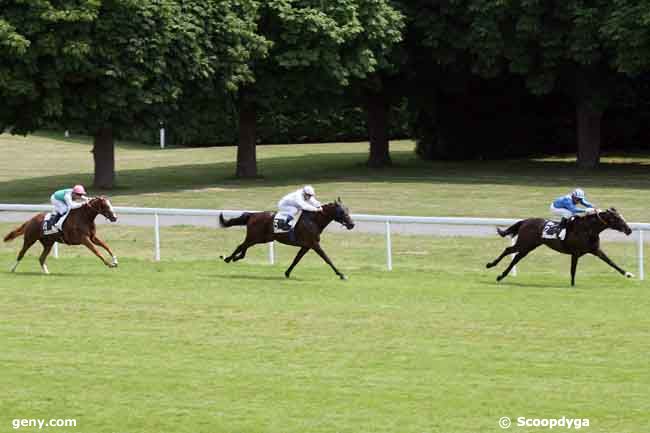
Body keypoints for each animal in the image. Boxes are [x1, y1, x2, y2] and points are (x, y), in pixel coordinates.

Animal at [218, 197, 354, 278]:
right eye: (342, 212)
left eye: (347, 209)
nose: (352, 224)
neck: (313, 221)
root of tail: (253, 215)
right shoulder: (314, 244)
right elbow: (327, 258)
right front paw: (341, 274)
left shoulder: (306, 246)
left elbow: (296, 260)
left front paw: (287, 273)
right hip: (255, 237)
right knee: (241, 245)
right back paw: (228, 258)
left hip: (262, 239)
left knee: (244, 247)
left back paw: (235, 258)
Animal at [486, 208, 632, 286]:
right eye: (617, 219)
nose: (629, 230)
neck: (587, 229)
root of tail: (526, 221)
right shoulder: (575, 253)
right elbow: (573, 270)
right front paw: (572, 285)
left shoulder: (595, 250)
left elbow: (611, 262)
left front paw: (628, 274)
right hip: (524, 243)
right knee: (508, 250)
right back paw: (490, 265)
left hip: (529, 246)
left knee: (516, 258)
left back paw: (501, 276)